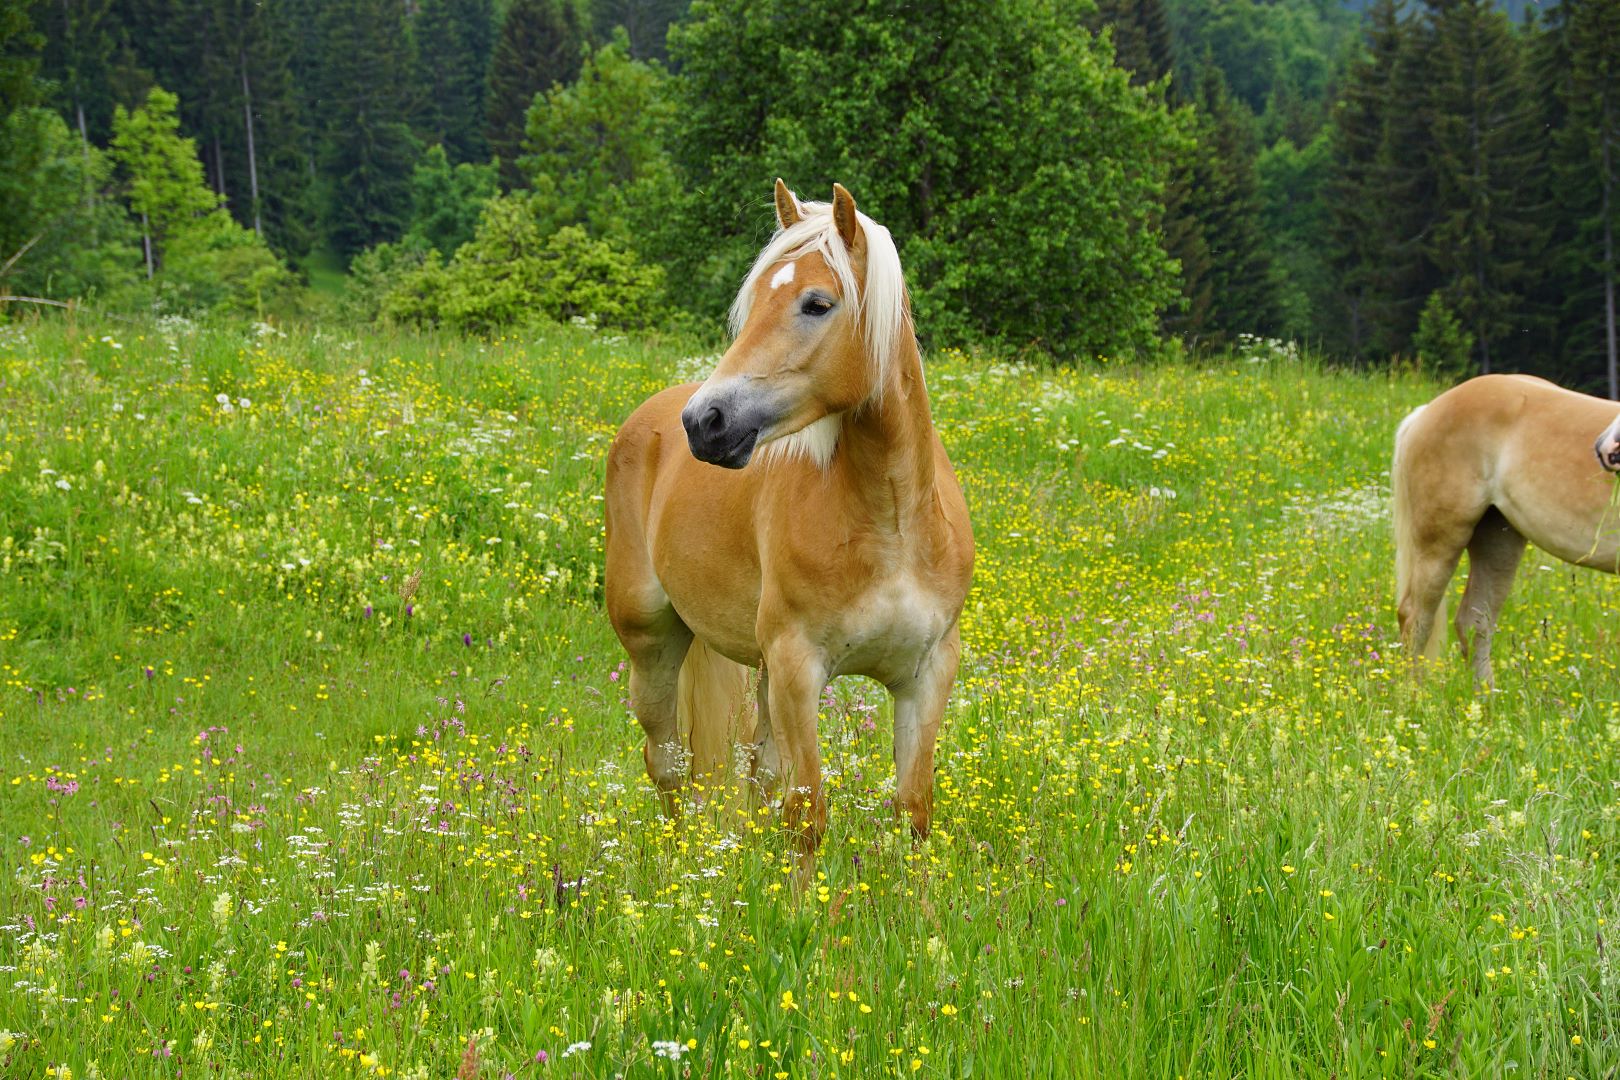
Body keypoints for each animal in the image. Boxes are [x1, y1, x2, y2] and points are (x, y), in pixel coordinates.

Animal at [603, 180, 974, 852]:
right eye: (752, 305)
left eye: (817, 304)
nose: (705, 423)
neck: (892, 525)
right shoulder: (800, 670)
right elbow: (807, 815)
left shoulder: (927, 674)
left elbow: (912, 810)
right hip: (653, 642)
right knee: (666, 765)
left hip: (761, 671)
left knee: (754, 773)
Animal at [1393, 373, 1620, 686]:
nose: (1605, 449)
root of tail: (1427, 411)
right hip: (1440, 541)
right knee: (1415, 618)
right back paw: (1414, 695)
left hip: (1498, 542)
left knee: (1475, 623)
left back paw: (1487, 698)